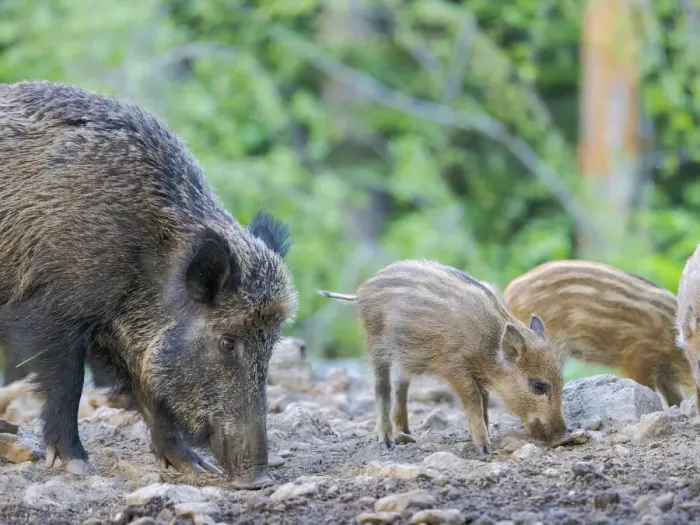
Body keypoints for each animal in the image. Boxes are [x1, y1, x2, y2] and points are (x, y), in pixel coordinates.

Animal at [0, 81, 298, 487]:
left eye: (271, 345)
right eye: (227, 342)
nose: (260, 479)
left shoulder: (122, 335)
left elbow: (150, 392)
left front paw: (193, 467)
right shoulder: (48, 313)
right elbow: (68, 384)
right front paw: (78, 465)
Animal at [318, 259, 566, 454]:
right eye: (538, 386)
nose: (563, 436)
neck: (488, 344)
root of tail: (362, 290)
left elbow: (484, 400)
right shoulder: (453, 366)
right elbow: (474, 399)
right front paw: (484, 448)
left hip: (406, 354)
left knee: (401, 385)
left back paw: (406, 432)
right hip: (376, 343)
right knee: (382, 388)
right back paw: (387, 441)